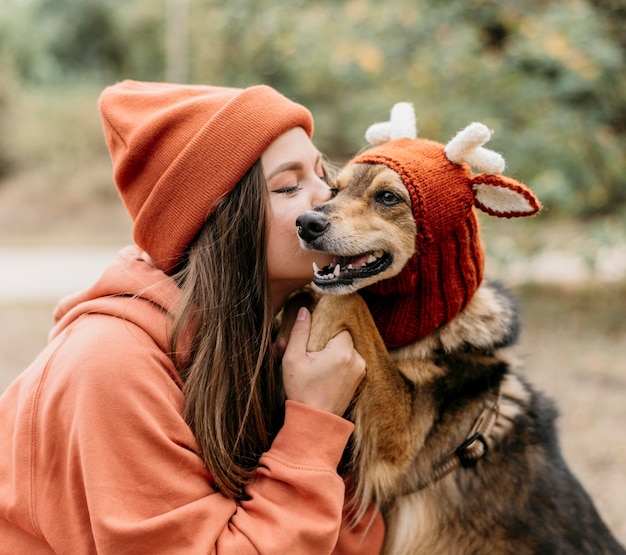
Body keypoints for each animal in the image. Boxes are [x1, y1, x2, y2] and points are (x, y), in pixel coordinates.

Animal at [278, 105, 624, 555]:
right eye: (333, 192)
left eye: (388, 197)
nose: (306, 223)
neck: (414, 333)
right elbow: (317, 296)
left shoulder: (400, 444)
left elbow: (346, 301)